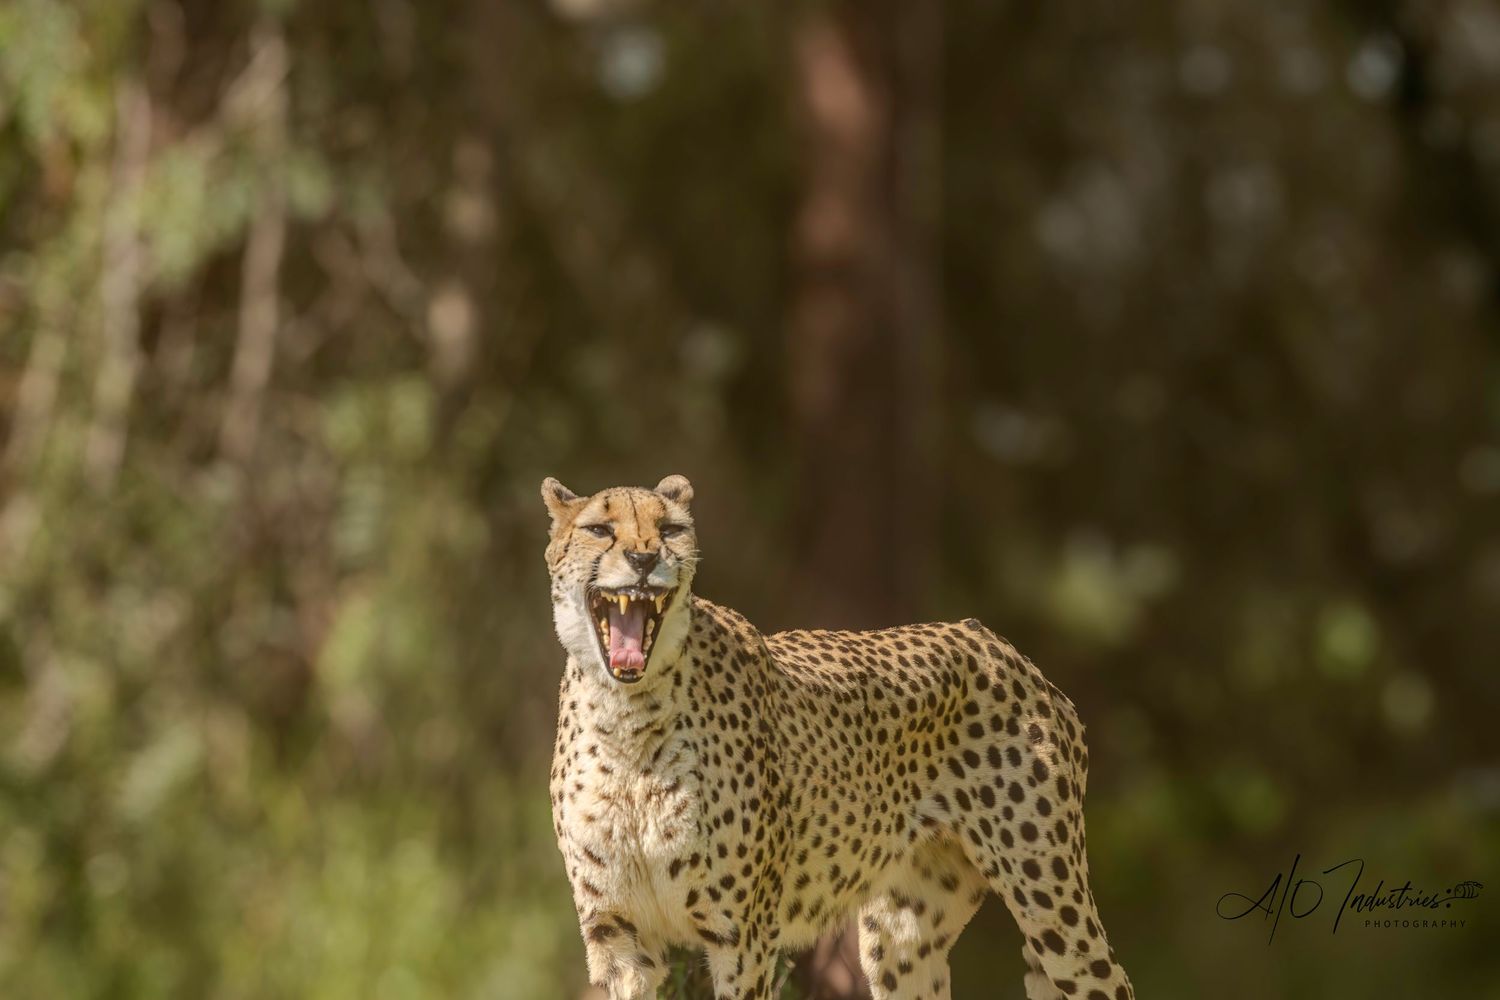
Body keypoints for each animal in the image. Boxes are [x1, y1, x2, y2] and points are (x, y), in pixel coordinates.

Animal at [543, 475, 1134, 1000]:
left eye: (669, 529)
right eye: (599, 530)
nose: (644, 560)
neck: (627, 719)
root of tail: (998, 643)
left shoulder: (742, 937)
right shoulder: (619, 936)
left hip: (1049, 899)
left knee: (1108, 979)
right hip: (902, 937)